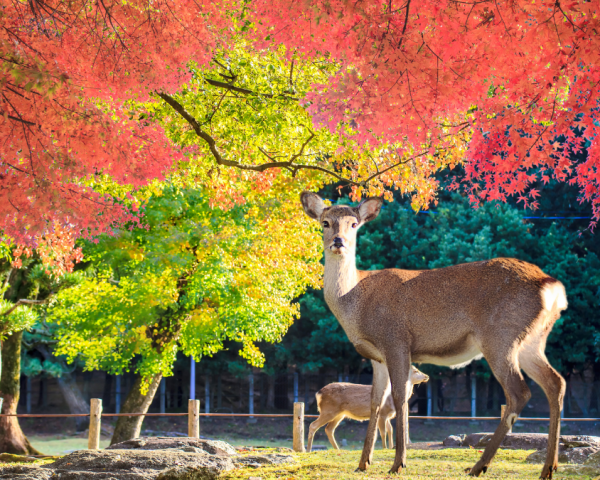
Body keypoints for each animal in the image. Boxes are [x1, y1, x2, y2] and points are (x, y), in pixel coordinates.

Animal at [302, 192, 568, 480]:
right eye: (325, 222)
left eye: (354, 224)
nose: (338, 241)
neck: (355, 303)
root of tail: (552, 286)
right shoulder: (376, 356)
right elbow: (375, 401)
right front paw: (363, 463)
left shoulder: (396, 340)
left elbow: (399, 397)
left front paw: (398, 463)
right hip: (532, 341)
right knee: (556, 382)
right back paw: (549, 467)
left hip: (500, 336)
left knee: (519, 392)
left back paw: (479, 466)